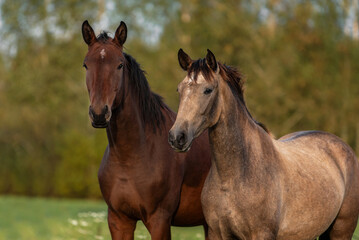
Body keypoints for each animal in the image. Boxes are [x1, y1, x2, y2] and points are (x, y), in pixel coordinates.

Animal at [81, 21, 211, 240]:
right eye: (86, 65)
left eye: (120, 65)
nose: (99, 114)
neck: (131, 157)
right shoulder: (119, 220)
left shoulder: (159, 221)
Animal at [169, 49, 359, 240]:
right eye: (179, 89)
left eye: (208, 90)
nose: (177, 137)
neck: (233, 177)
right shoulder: (217, 233)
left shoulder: (261, 234)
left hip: (341, 229)